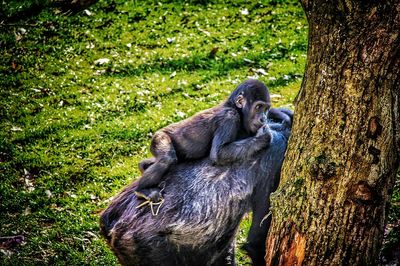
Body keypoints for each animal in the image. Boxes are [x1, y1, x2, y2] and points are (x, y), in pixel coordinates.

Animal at [136, 79, 274, 202]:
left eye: (266, 109)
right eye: (258, 107)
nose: (263, 118)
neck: (235, 108)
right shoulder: (229, 117)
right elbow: (218, 153)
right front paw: (263, 137)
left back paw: (144, 165)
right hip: (159, 136)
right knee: (167, 159)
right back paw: (142, 190)